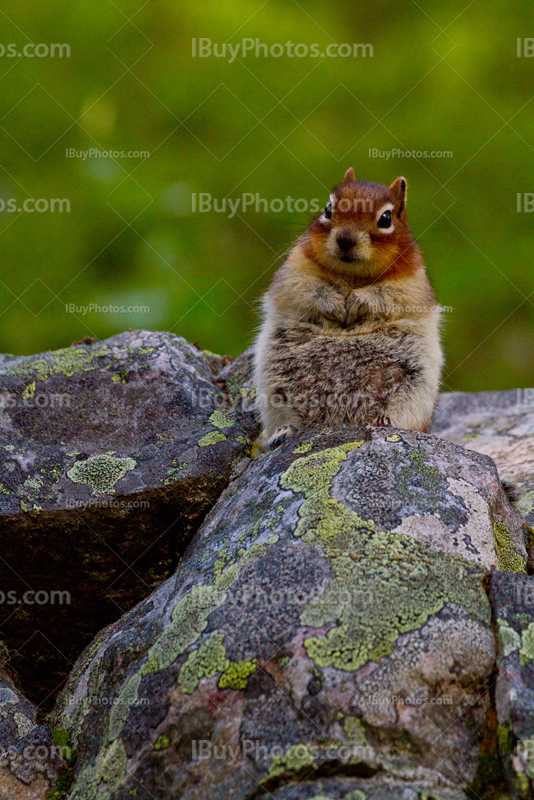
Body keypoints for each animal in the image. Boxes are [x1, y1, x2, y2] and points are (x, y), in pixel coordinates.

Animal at [254, 167, 444, 450]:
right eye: (328, 208)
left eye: (386, 218)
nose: (345, 239)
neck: (351, 277)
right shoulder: (293, 271)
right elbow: (306, 288)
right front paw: (335, 304)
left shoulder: (412, 285)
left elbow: (388, 294)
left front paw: (357, 302)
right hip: (275, 389)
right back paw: (284, 432)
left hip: (413, 390)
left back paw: (384, 424)